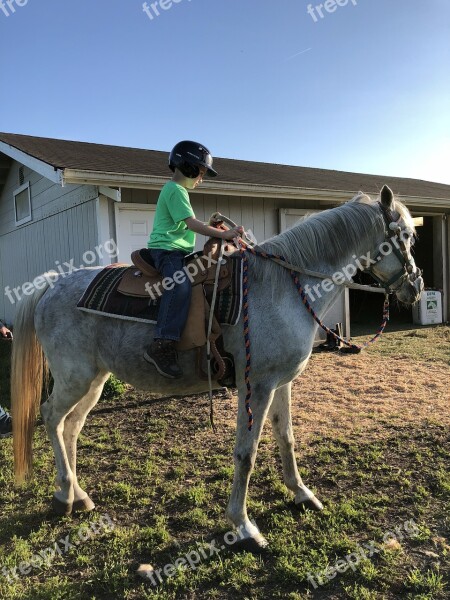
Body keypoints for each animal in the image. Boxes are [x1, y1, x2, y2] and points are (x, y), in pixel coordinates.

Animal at [12, 184, 424, 556]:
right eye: (405, 236)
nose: (416, 287)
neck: (282, 287)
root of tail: (52, 284)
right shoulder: (256, 385)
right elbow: (247, 453)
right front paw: (243, 526)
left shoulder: (282, 383)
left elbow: (286, 437)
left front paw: (302, 494)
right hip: (74, 377)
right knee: (51, 417)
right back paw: (64, 495)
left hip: (94, 379)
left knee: (71, 426)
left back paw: (78, 494)